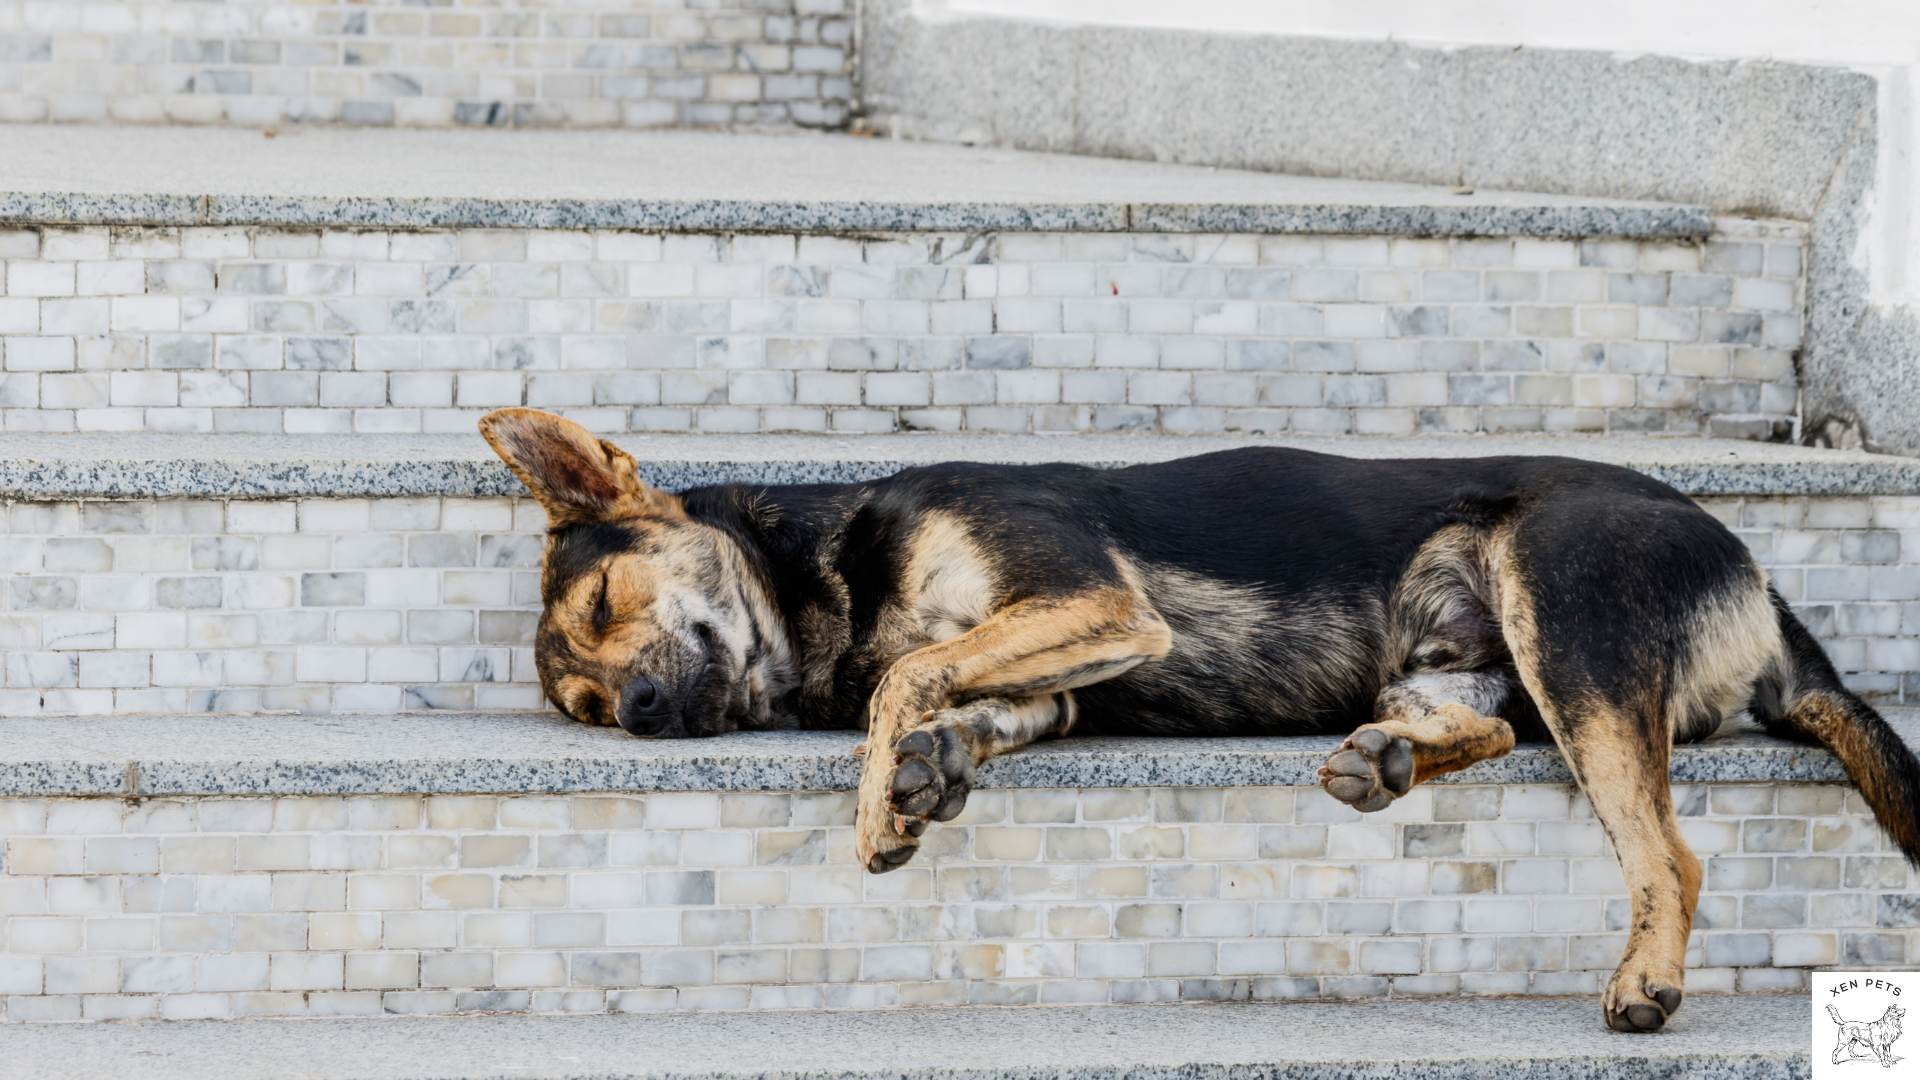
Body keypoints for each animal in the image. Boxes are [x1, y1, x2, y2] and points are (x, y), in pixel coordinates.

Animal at [476, 407, 1920, 1030]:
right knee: (1492, 729)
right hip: (1443, 654)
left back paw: (1648, 981)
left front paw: (882, 787)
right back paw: (1387, 759)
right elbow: (958, 695)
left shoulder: (1096, 601)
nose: (642, 713)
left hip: (1560, 588)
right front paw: (927, 773)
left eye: (606, 599)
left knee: (1665, 849)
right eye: (585, 704)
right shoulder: (1060, 672)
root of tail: (1767, 594)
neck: (837, 573)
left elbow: (905, 678)